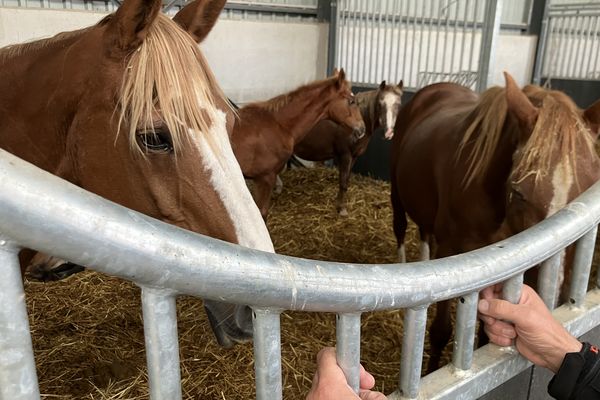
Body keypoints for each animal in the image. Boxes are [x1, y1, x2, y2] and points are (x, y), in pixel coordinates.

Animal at [294, 79, 404, 216]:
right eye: (380, 103)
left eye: (398, 104)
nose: (389, 132)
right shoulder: (345, 155)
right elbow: (342, 183)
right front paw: (341, 208)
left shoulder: (354, 156)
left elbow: (345, 180)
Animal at [390, 71, 600, 372]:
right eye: (519, 192)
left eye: (589, 187)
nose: (551, 298)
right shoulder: (453, 256)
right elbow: (441, 330)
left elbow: (484, 335)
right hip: (397, 192)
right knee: (400, 227)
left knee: (425, 234)